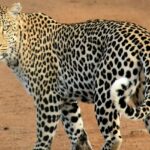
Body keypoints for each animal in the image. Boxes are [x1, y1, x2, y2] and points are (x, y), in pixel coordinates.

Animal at [0, 2, 150, 150]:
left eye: (6, 28)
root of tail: (143, 39)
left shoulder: (47, 99)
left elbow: (43, 138)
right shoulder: (66, 99)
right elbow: (76, 131)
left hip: (104, 94)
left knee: (114, 138)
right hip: (141, 95)